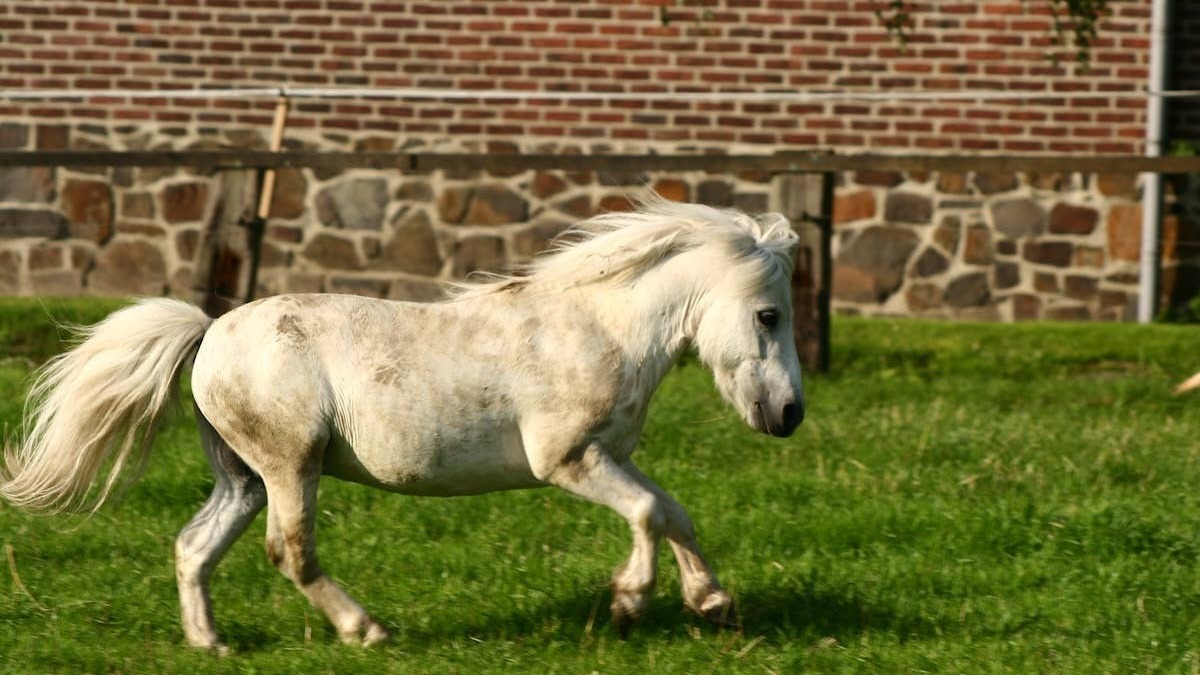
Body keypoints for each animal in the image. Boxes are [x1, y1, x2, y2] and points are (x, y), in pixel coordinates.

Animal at [0, 198, 805, 651]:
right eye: (769, 315)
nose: (790, 414)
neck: (597, 328)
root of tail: (208, 332)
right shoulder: (568, 459)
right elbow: (645, 513)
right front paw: (630, 603)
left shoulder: (610, 454)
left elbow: (674, 511)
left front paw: (714, 604)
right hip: (291, 466)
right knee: (289, 552)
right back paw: (367, 631)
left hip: (244, 478)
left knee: (194, 547)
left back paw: (212, 645)